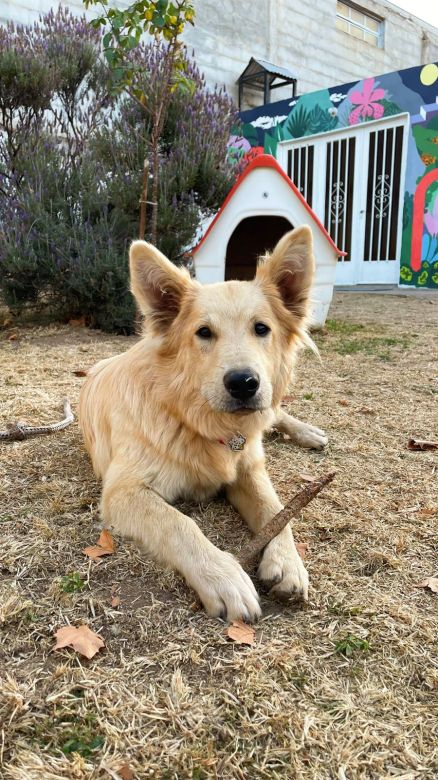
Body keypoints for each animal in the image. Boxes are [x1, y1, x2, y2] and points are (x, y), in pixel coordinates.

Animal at [79, 225, 326, 620]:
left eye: (261, 328)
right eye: (204, 332)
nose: (243, 383)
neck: (196, 421)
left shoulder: (249, 467)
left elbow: (276, 509)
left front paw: (288, 562)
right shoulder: (122, 491)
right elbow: (179, 524)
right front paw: (224, 576)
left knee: (275, 414)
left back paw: (308, 432)